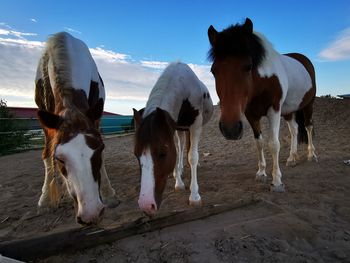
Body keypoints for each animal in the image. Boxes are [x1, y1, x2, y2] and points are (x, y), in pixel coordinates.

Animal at [34, 31, 118, 225]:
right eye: (59, 159)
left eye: (99, 150)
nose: (91, 213)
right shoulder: (47, 121)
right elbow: (46, 154)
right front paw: (45, 199)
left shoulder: (94, 115)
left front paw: (109, 194)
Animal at [133, 62, 212, 217]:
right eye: (136, 154)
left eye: (163, 153)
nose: (146, 205)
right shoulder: (173, 126)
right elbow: (177, 151)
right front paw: (179, 183)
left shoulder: (196, 125)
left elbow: (193, 157)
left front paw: (194, 196)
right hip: (181, 129)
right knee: (181, 146)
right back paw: (178, 171)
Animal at [208, 18, 318, 192]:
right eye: (213, 70)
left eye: (248, 66)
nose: (230, 129)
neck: (262, 82)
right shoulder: (251, 114)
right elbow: (259, 143)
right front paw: (261, 173)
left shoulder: (274, 110)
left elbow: (273, 144)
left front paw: (277, 181)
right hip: (288, 111)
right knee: (294, 130)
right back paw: (292, 158)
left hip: (308, 105)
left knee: (308, 127)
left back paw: (311, 155)